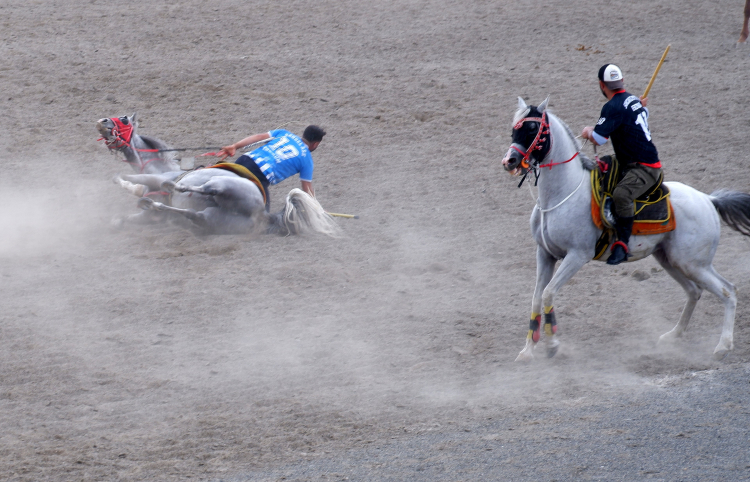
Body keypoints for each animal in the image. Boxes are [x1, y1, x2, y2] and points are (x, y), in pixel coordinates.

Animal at [502, 97, 750, 362]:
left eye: (532, 129)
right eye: (514, 128)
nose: (509, 161)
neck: (563, 193)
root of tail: (708, 199)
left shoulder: (577, 256)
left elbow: (548, 293)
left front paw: (552, 345)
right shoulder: (544, 254)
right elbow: (536, 297)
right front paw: (528, 351)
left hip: (694, 264)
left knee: (728, 291)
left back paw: (723, 345)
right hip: (670, 259)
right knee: (695, 292)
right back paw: (673, 335)